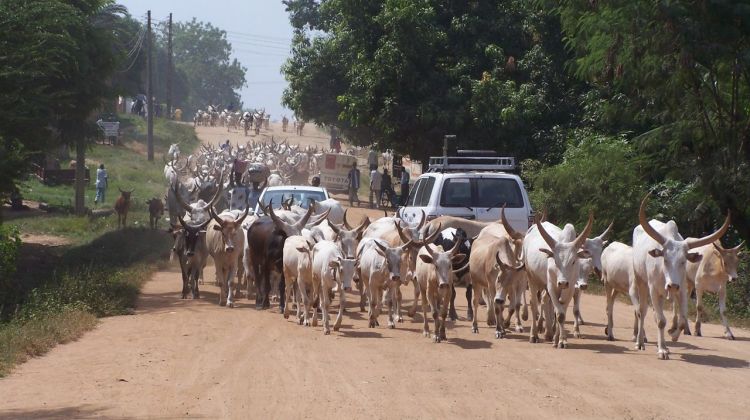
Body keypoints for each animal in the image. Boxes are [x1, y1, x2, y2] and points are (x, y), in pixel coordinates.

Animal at [632, 195, 732, 360]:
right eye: (665, 259)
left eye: (684, 261)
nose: (672, 285)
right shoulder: (653, 289)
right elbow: (660, 321)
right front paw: (662, 350)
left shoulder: (683, 289)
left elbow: (683, 318)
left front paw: (673, 336)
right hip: (641, 281)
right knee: (642, 311)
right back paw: (640, 342)